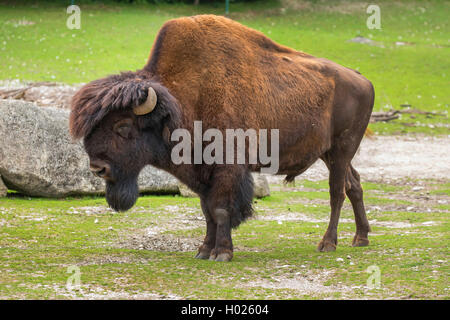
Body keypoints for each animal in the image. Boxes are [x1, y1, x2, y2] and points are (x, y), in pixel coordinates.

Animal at [69, 13, 372, 262]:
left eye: (123, 126)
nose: (97, 168)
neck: (183, 100)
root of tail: (363, 80)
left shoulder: (227, 169)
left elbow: (221, 209)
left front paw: (222, 253)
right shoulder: (202, 173)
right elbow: (207, 212)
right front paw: (204, 250)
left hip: (342, 149)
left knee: (336, 192)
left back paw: (328, 244)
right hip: (329, 153)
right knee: (354, 184)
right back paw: (361, 238)